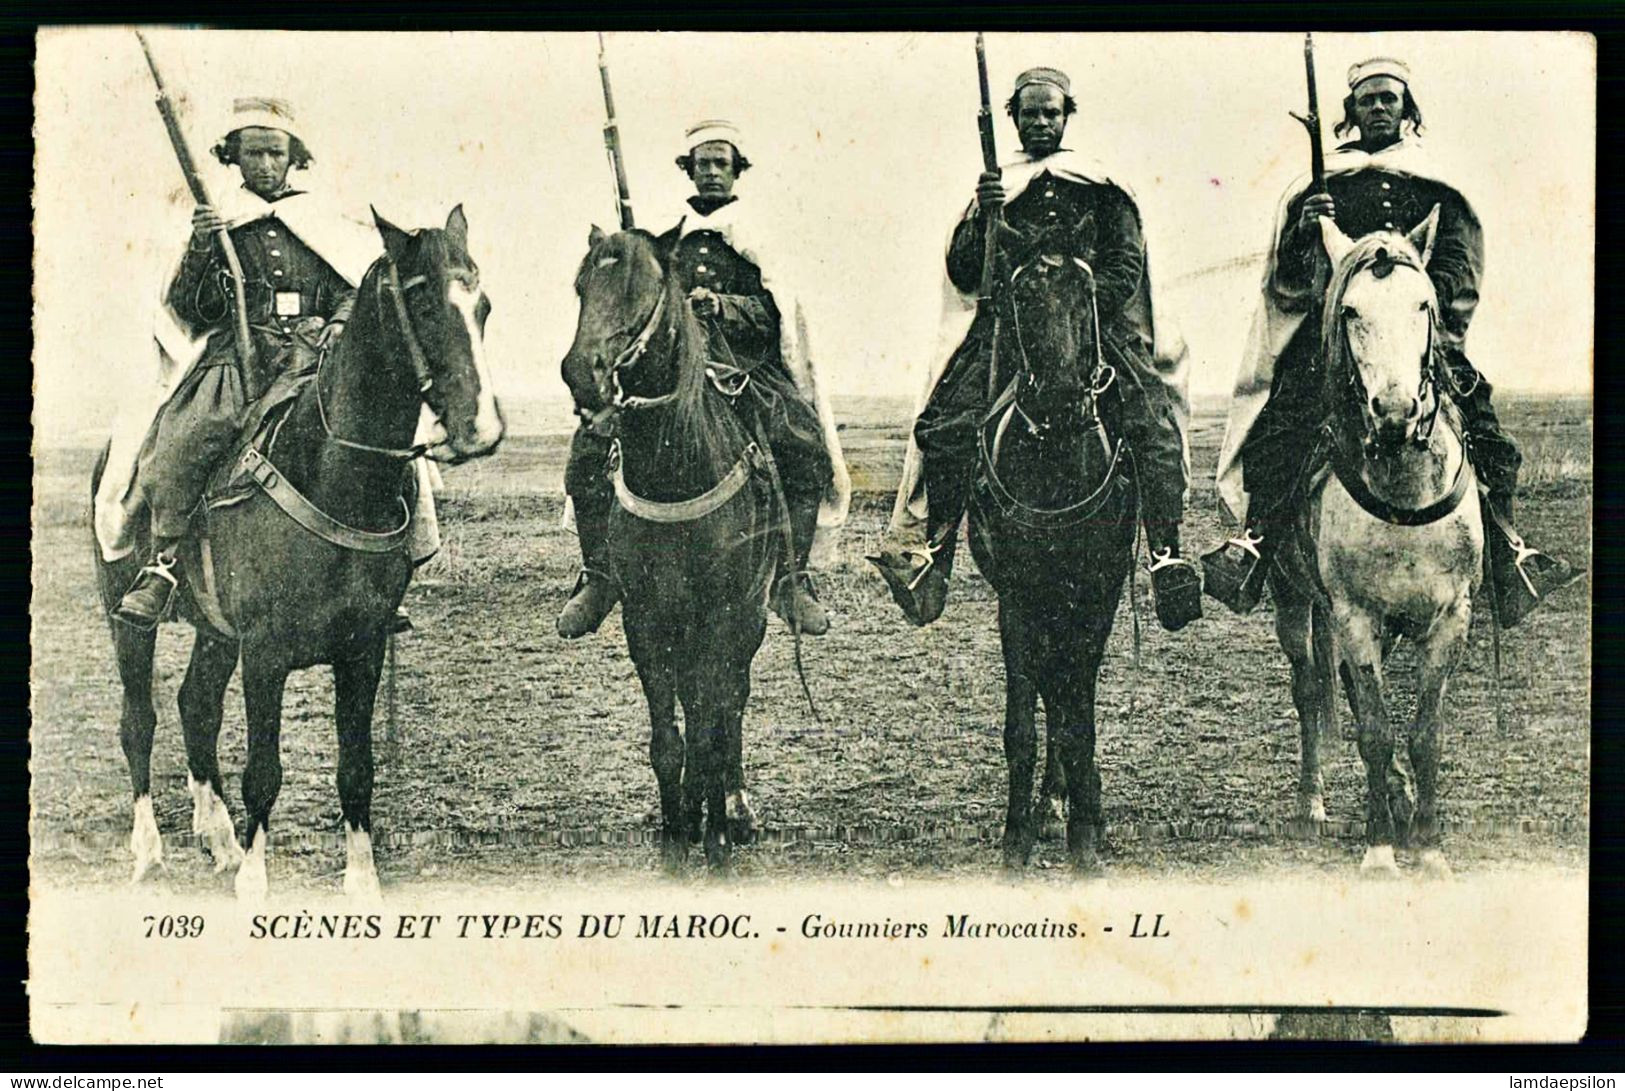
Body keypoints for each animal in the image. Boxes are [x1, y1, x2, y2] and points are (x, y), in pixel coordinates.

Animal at [93, 209, 500, 897]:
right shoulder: (265, 651)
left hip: (215, 632)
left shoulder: (363, 648)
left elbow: (357, 767)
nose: (481, 430)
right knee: (139, 722)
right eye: (421, 302)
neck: (334, 474)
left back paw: (219, 839)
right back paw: (150, 851)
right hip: (129, 620)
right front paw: (256, 882)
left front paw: (361, 881)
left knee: (196, 707)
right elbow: (264, 770)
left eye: (484, 306)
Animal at [562, 226, 783, 878]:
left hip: (749, 620)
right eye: (581, 285)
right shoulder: (647, 620)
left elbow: (711, 728)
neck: (676, 469)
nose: (580, 373)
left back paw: (734, 808)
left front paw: (714, 838)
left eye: (643, 288)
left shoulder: (721, 617)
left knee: (731, 702)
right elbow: (669, 740)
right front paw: (675, 832)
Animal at [968, 219, 1137, 871]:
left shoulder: (1096, 598)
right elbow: (1025, 721)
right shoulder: (1016, 599)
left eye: (1086, 291)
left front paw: (1087, 834)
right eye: (1021, 294)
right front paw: (1017, 834)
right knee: (1048, 683)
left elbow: (1076, 717)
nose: (1065, 398)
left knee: (1066, 691)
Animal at [1267, 209, 1488, 884]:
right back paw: (1312, 806)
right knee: (1310, 690)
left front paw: (1429, 845)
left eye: (1424, 304)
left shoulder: (1450, 619)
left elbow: (1424, 735)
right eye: (1350, 311)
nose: (1394, 412)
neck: (1405, 497)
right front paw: (1381, 849)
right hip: (1295, 603)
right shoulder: (1356, 618)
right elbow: (1374, 730)